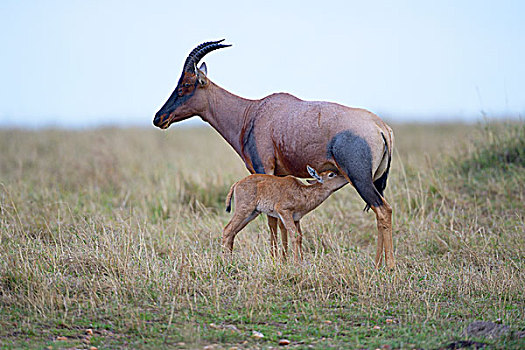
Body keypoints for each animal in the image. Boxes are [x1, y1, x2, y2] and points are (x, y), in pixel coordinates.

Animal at [154, 39, 396, 268]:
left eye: (186, 84)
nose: (159, 118)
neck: (254, 112)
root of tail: (381, 127)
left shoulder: (263, 168)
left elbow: (271, 221)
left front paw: (276, 260)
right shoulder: (279, 176)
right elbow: (280, 221)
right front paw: (285, 259)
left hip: (359, 178)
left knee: (383, 210)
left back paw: (389, 267)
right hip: (375, 179)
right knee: (379, 212)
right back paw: (377, 263)